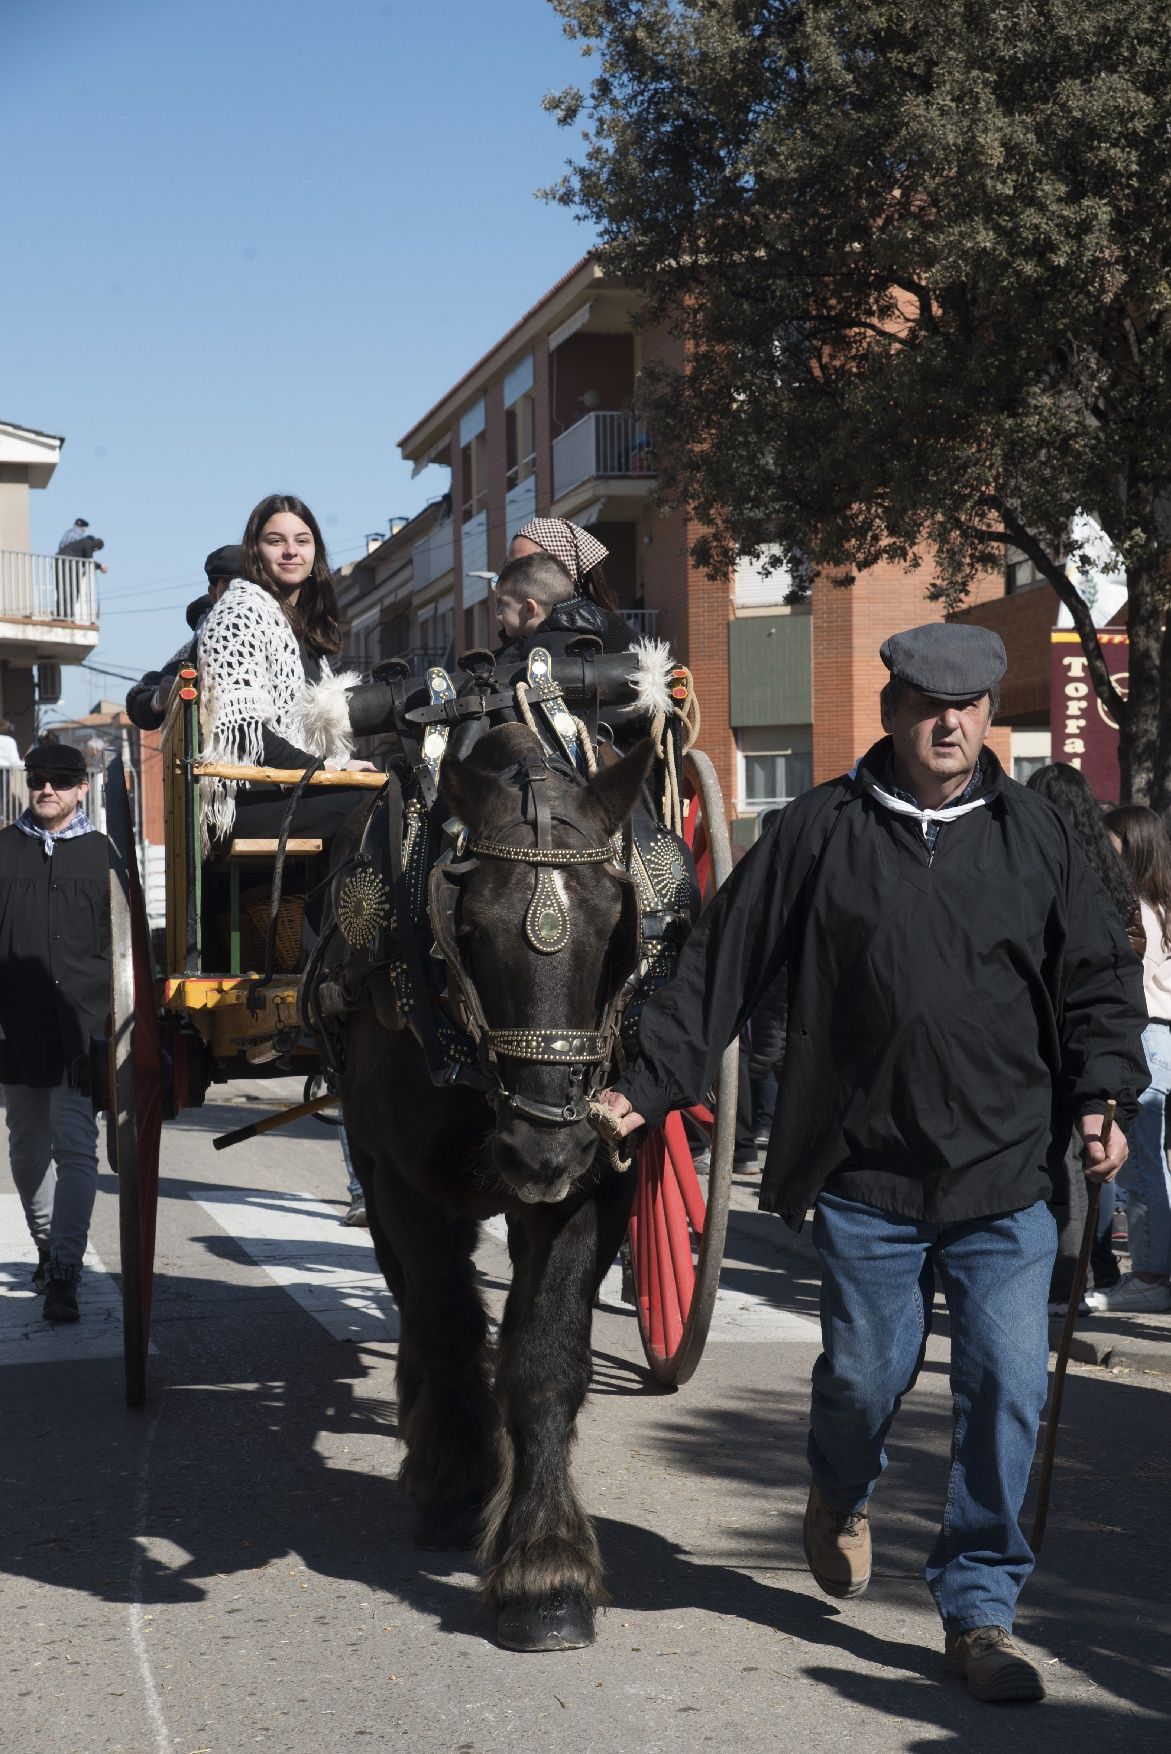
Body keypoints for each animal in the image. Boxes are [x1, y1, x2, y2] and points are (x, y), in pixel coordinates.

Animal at [333, 719, 655, 1648]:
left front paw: (544, 1570)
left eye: (616, 927)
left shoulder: (596, 1182)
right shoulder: (406, 1185)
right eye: (468, 929)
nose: (543, 1147)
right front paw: (455, 1482)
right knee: (415, 1302)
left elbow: (542, 1360)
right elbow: (444, 1327)